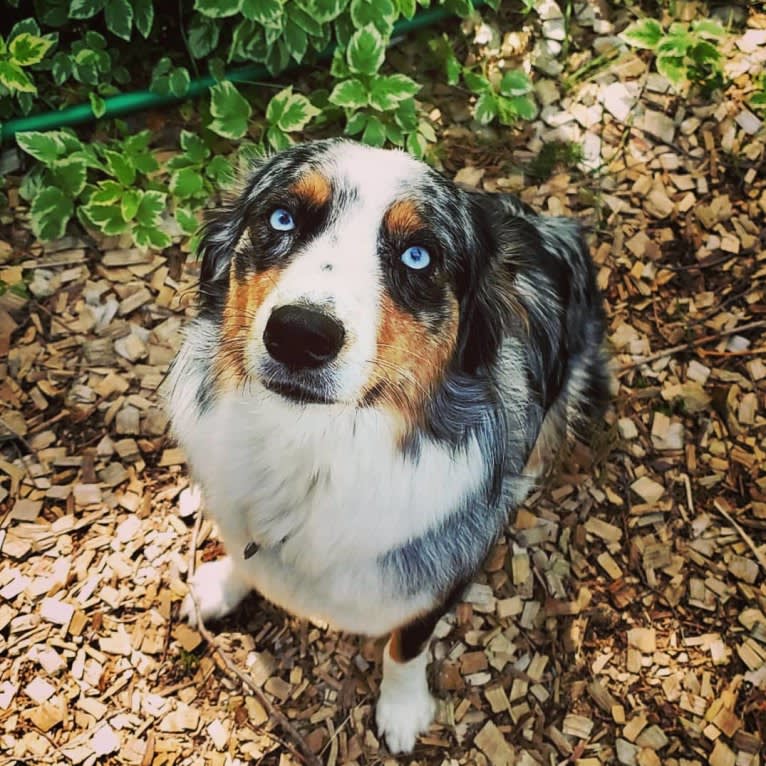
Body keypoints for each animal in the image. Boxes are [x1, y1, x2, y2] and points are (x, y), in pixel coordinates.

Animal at [168, 140, 612, 756]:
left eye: (418, 256)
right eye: (280, 219)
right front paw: (221, 586)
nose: (300, 335)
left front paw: (402, 712)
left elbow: (406, 647)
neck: (317, 446)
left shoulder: (443, 578)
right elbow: (242, 554)